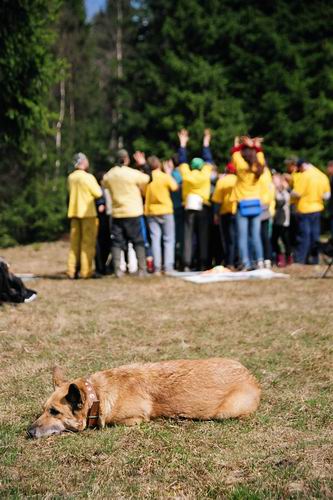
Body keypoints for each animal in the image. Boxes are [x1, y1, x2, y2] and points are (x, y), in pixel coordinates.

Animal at [27, 360, 260, 438]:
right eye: (43, 409)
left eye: (55, 412)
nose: (28, 432)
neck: (98, 396)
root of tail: (252, 377)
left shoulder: (133, 420)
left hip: (226, 411)